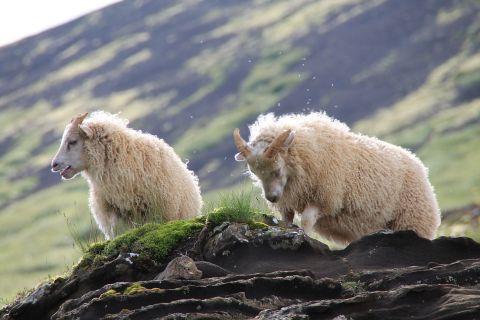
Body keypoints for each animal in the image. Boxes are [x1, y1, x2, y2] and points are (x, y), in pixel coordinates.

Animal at [234, 112, 440, 242]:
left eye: (277, 169)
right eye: (255, 173)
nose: (272, 198)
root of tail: (419, 164)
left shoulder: (325, 198)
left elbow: (306, 220)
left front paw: (305, 237)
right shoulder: (288, 203)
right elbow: (287, 222)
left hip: (412, 219)